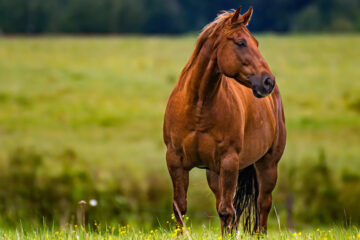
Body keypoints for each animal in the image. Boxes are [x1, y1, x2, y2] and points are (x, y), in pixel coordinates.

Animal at [164, 6, 286, 234]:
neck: (199, 106)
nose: (268, 81)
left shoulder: (229, 161)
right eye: (241, 42)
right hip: (214, 173)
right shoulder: (175, 160)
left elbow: (227, 211)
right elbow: (180, 208)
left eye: (256, 42)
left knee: (262, 205)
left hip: (267, 165)